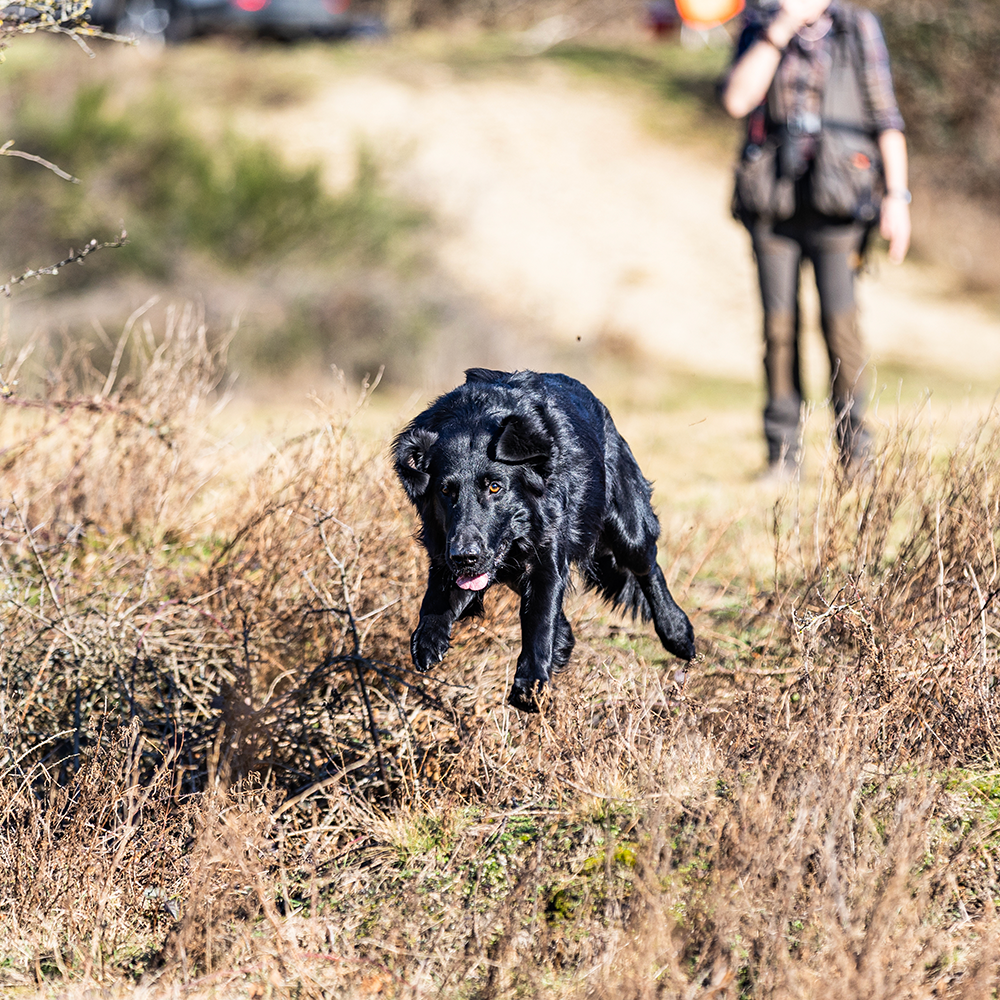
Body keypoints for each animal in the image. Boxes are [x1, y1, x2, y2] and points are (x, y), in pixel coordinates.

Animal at [392, 370, 696, 712]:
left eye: (495, 487)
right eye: (445, 491)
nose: (465, 557)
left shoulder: (545, 555)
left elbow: (539, 618)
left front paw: (530, 683)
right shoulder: (448, 547)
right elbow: (437, 596)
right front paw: (427, 638)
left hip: (629, 529)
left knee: (648, 566)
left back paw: (678, 632)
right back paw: (563, 639)